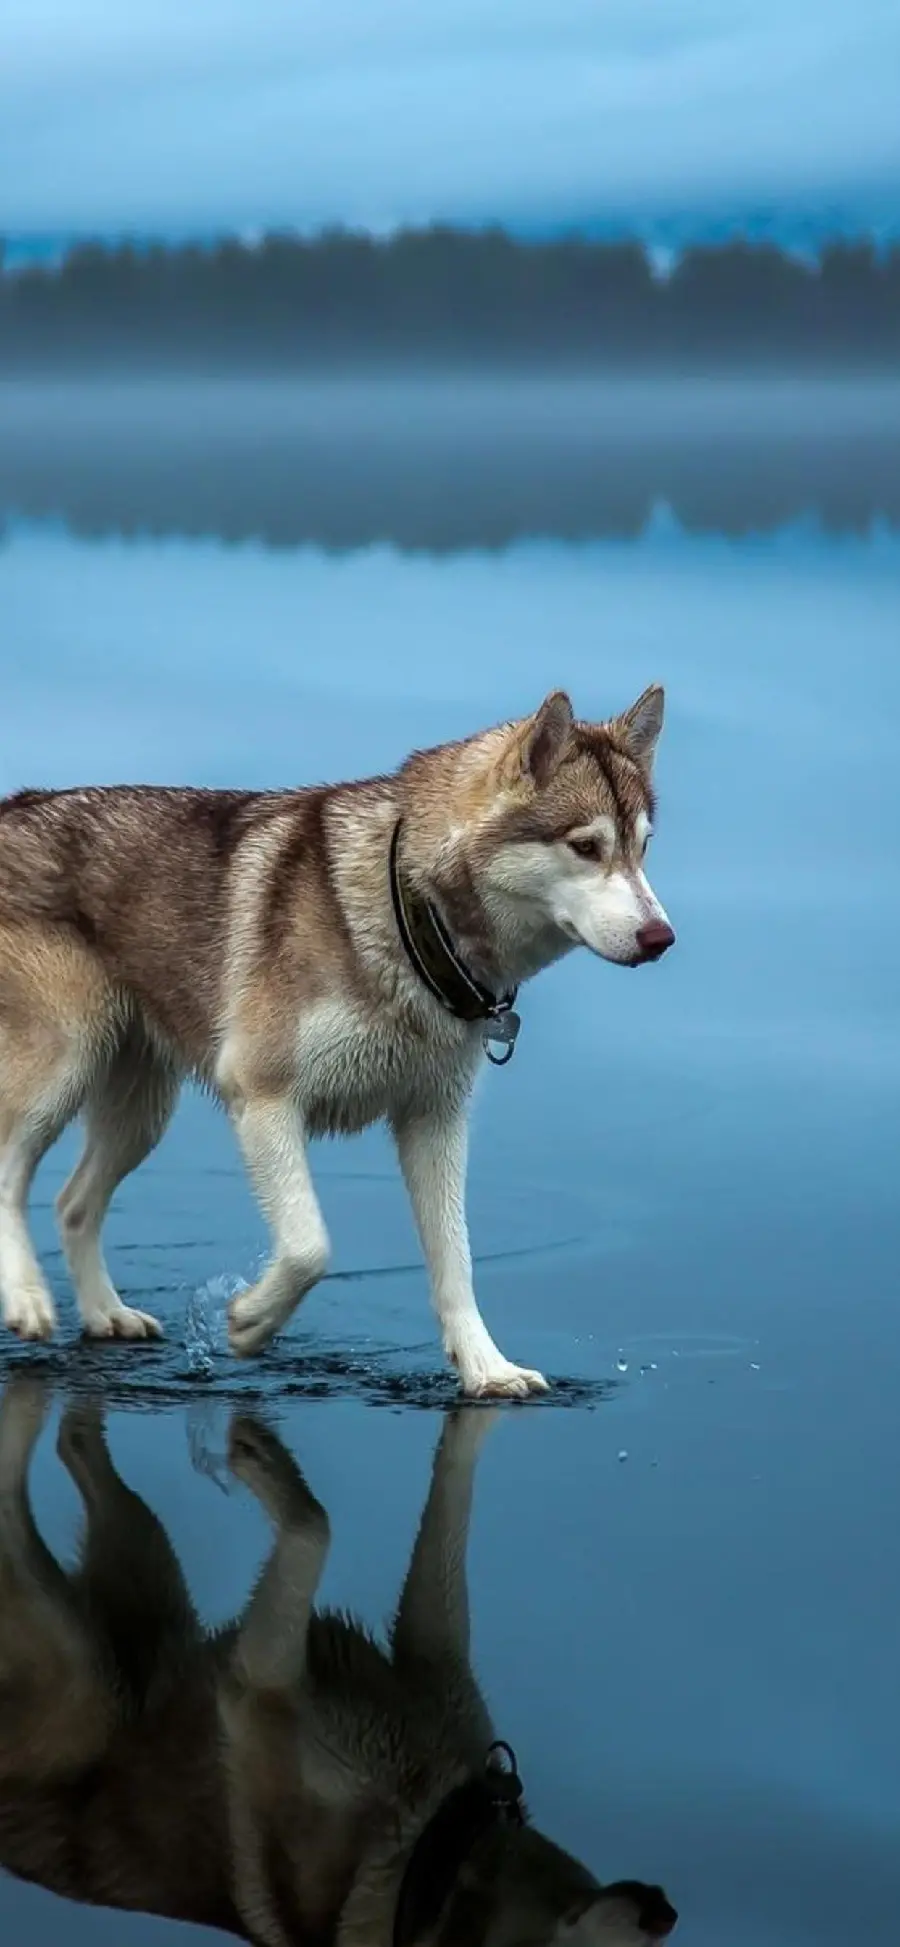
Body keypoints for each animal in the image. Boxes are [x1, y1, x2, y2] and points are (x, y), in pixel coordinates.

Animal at [0, 693, 674, 1394]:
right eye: (586, 846)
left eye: (643, 848)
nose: (662, 937)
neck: (409, 913)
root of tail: (14, 804)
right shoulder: (263, 1098)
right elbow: (309, 1247)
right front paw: (251, 1321)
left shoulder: (435, 1120)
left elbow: (456, 1261)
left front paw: (487, 1369)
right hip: (62, 1066)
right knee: (10, 1174)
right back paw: (27, 1297)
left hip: (141, 1111)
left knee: (74, 1203)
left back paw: (106, 1313)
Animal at [0, 1378, 677, 1939]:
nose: (665, 1912)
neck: (436, 1848)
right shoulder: (260, 1682)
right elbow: (316, 1524)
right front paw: (261, 1460)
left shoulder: (420, 1651)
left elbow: (444, 1499)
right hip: (82, 1659)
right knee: (15, 1475)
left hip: (145, 1566)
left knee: (74, 1445)